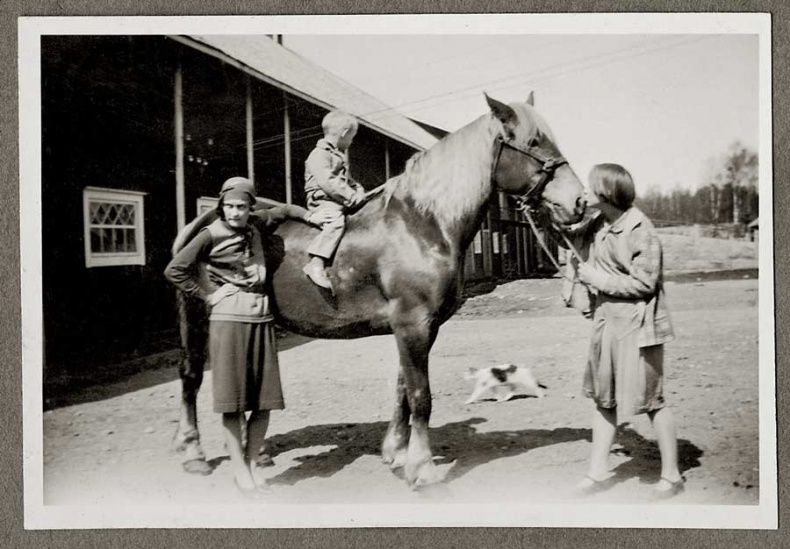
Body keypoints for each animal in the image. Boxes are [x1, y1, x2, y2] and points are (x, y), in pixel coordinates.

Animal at [175, 93, 588, 484]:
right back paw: (194, 454)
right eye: (533, 141)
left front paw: (398, 453)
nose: (579, 201)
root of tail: (202, 220)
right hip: (198, 320)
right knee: (191, 377)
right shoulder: (412, 325)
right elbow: (420, 396)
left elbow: (403, 389)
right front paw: (422, 468)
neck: (423, 223)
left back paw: (256, 453)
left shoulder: (422, 328)